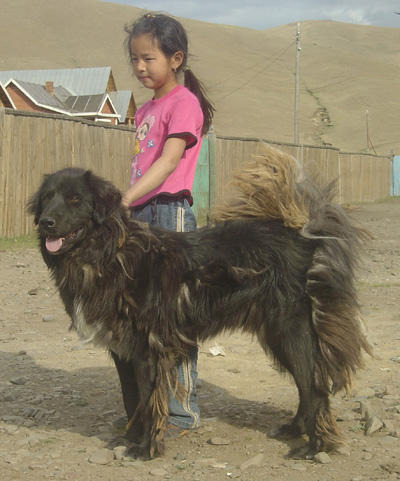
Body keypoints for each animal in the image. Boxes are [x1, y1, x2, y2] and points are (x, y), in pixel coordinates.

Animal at [27, 145, 372, 458]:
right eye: (47, 198)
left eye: (75, 199)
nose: (45, 222)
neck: (110, 254)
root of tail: (300, 235)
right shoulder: (122, 350)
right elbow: (130, 400)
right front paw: (131, 439)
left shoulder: (148, 350)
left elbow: (149, 403)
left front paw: (145, 449)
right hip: (278, 336)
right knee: (307, 385)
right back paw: (296, 429)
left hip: (291, 332)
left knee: (314, 388)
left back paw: (316, 447)